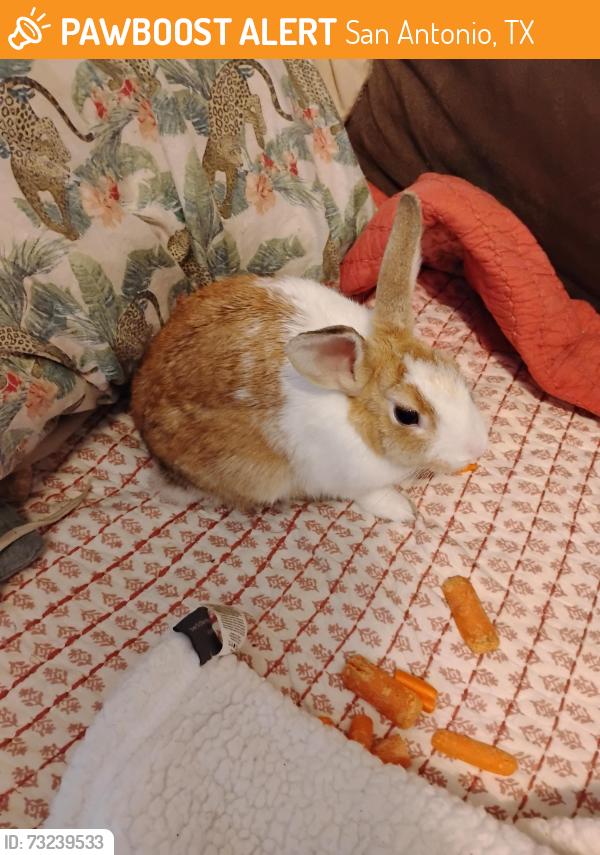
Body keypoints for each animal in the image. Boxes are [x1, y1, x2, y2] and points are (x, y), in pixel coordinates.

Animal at [131, 193, 488, 522]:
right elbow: (371, 495)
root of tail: (139, 403)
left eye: (455, 369)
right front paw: (404, 511)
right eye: (407, 415)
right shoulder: (346, 480)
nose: (475, 449)